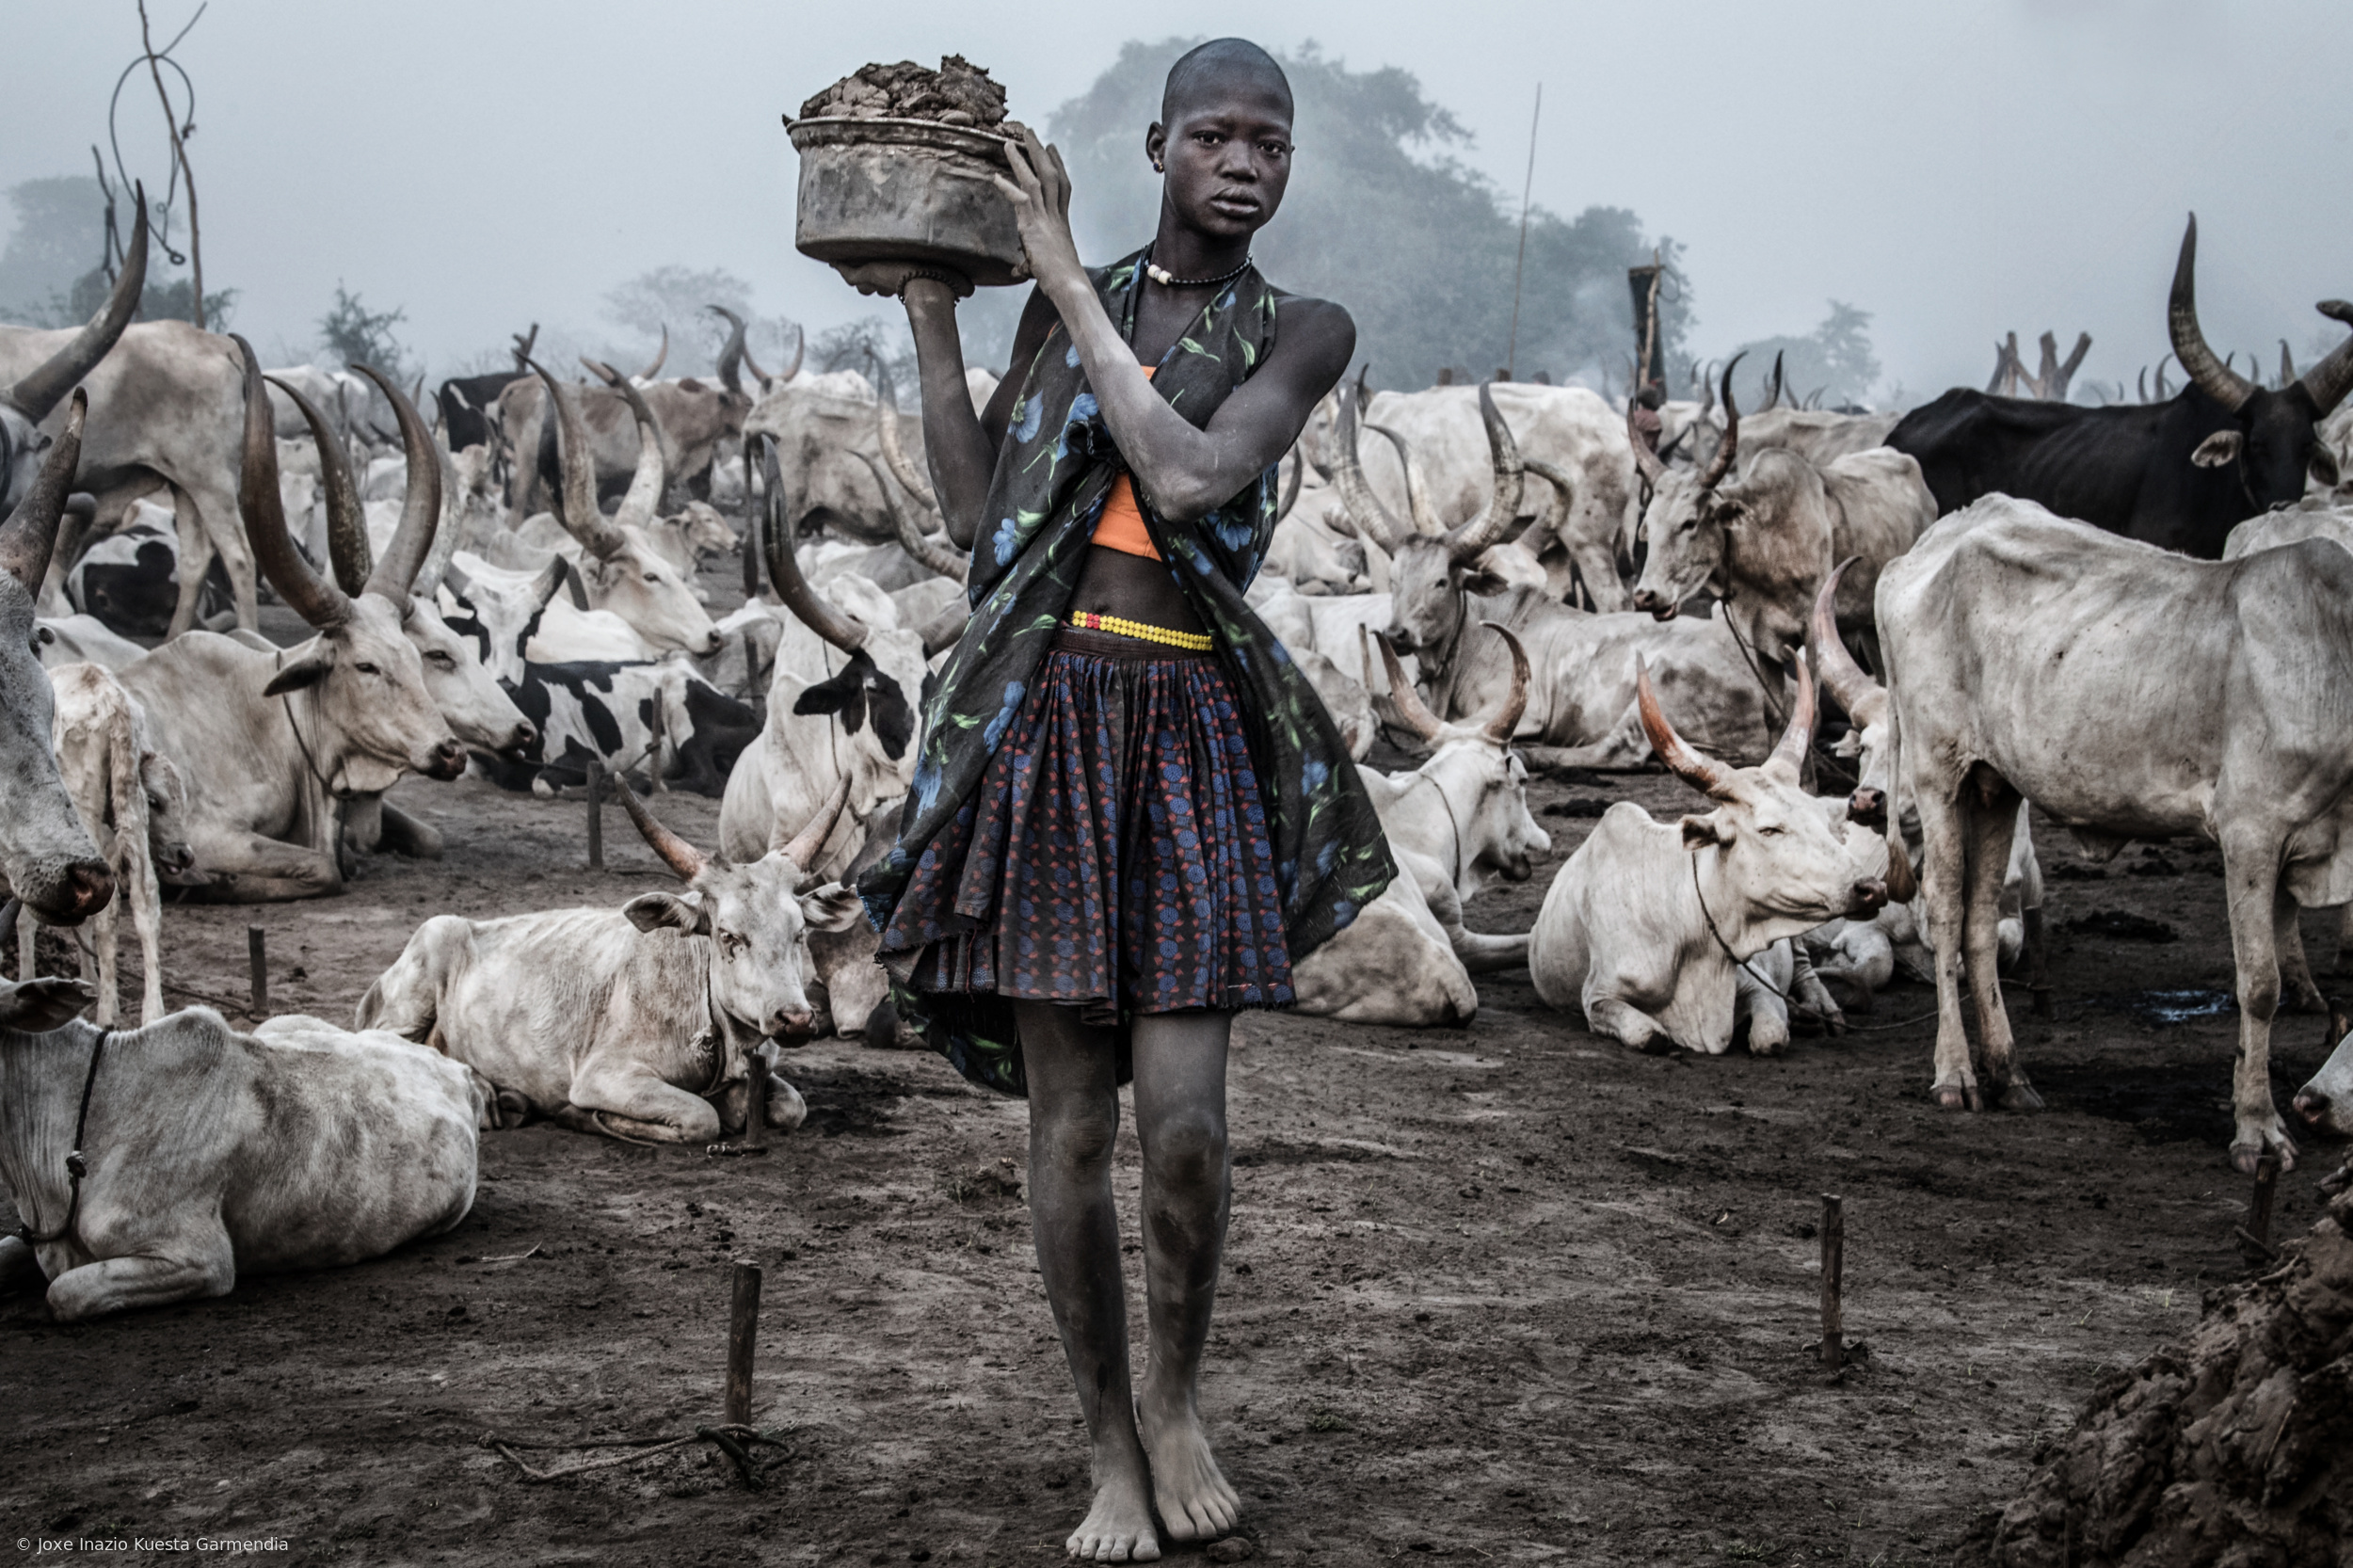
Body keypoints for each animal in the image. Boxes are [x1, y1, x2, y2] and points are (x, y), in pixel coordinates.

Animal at [353, 776, 861, 1134]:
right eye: (727, 936)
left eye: (799, 933)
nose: (795, 1019)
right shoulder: (605, 1077)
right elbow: (701, 1117)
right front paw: (580, 1116)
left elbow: (793, 1107)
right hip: (416, 978)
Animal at [1525, 645, 1892, 1049]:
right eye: (1768, 829)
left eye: (1823, 822)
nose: (1871, 888)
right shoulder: (1598, 996)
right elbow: (1649, 1035)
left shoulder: (1759, 985)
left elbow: (1771, 1036)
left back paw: (1818, 1007)